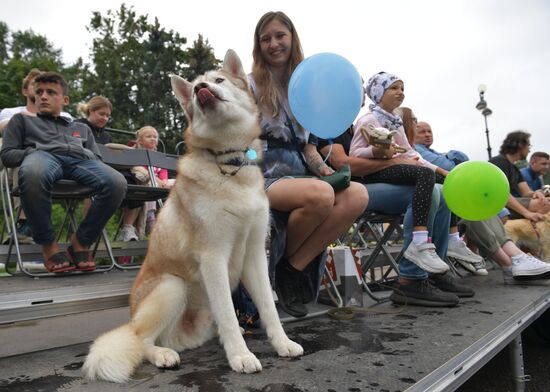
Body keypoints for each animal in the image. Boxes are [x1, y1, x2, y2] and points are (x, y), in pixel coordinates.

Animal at [84, 49, 304, 382]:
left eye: (219, 80)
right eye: (198, 85)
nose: (201, 88)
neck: (229, 165)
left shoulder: (255, 254)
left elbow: (268, 307)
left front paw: (282, 343)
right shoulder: (213, 257)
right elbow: (228, 313)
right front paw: (241, 356)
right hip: (172, 287)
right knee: (140, 340)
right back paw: (162, 354)